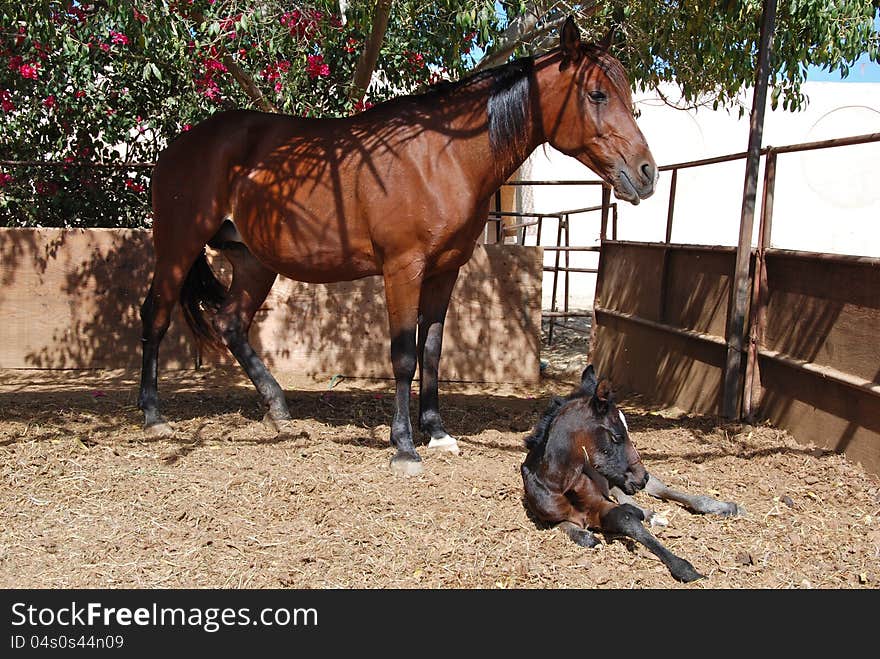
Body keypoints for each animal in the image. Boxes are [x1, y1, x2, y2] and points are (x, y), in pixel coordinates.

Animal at [139, 19, 660, 474]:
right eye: (596, 94)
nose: (647, 173)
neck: (442, 157)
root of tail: (179, 145)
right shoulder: (402, 268)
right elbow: (404, 355)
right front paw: (404, 446)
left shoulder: (445, 270)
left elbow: (431, 350)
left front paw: (437, 432)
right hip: (177, 247)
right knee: (156, 315)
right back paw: (153, 416)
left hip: (253, 261)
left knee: (230, 322)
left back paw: (278, 410)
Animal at [524, 366, 744, 584]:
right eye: (617, 436)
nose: (642, 477)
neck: (561, 484)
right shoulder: (550, 519)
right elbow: (579, 532)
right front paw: (589, 536)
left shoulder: (602, 503)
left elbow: (626, 520)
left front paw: (685, 568)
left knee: (663, 491)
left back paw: (725, 507)